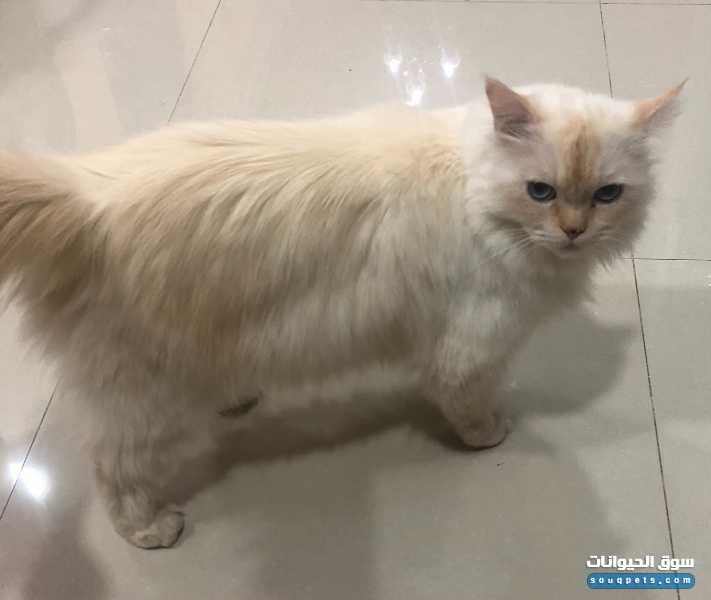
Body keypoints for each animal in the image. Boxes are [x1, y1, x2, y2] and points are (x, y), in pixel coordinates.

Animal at [0, 77, 682, 548]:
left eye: (607, 194)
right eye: (541, 191)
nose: (573, 232)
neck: (473, 191)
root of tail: (82, 192)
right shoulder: (468, 349)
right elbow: (469, 405)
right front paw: (491, 434)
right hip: (146, 393)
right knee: (111, 465)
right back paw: (150, 529)